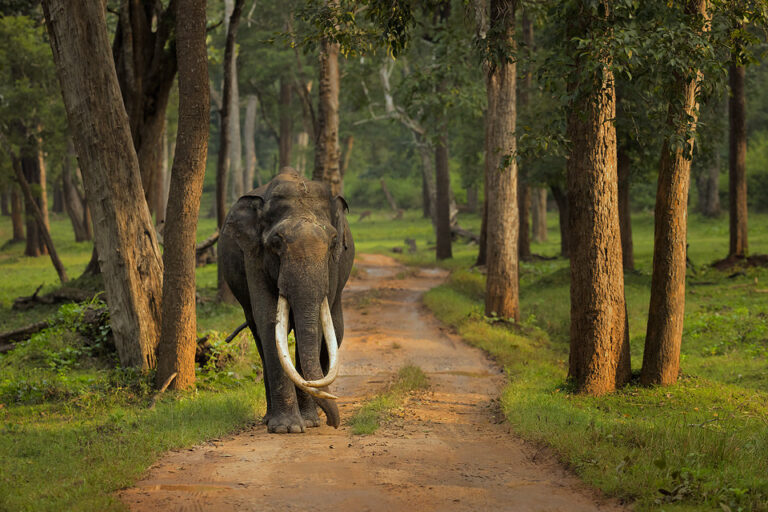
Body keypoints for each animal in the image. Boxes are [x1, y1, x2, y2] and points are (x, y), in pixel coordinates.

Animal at [219, 167, 354, 432]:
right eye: (276, 242)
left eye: (333, 241)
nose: (334, 423)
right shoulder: (253, 255)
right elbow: (268, 318)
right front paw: (286, 428)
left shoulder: (332, 266)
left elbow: (318, 325)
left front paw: (309, 422)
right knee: (258, 335)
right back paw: (268, 419)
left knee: (336, 330)